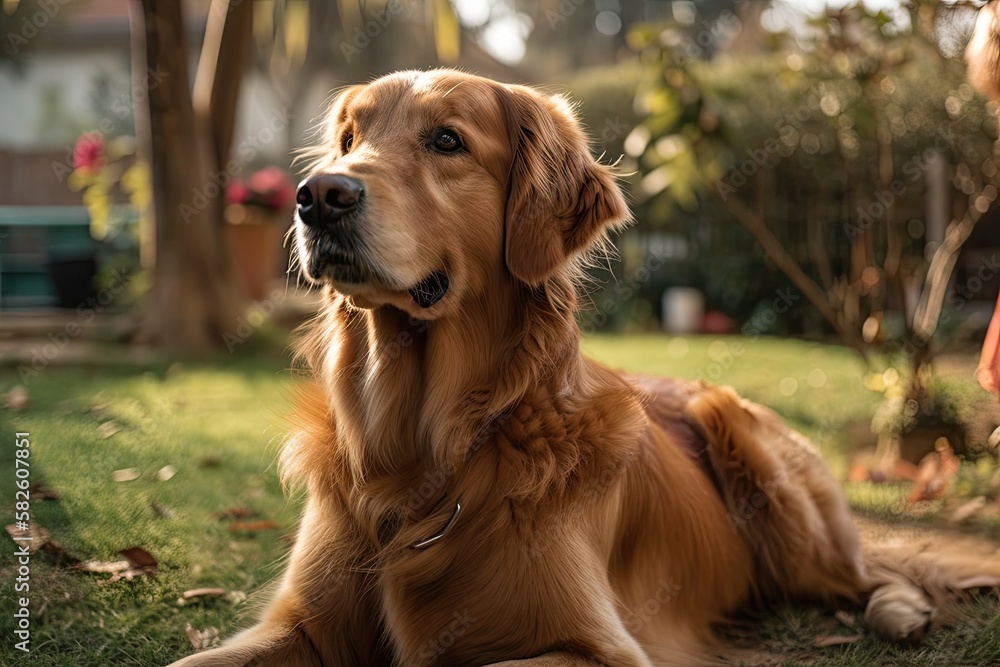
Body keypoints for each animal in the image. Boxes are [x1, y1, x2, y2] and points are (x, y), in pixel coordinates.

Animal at [166, 69, 1000, 667]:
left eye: (447, 140)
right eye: (348, 138)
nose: (318, 196)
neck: (428, 449)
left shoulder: (597, 647)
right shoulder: (300, 624)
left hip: (773, 484)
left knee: (867, 572)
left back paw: (899, 609)